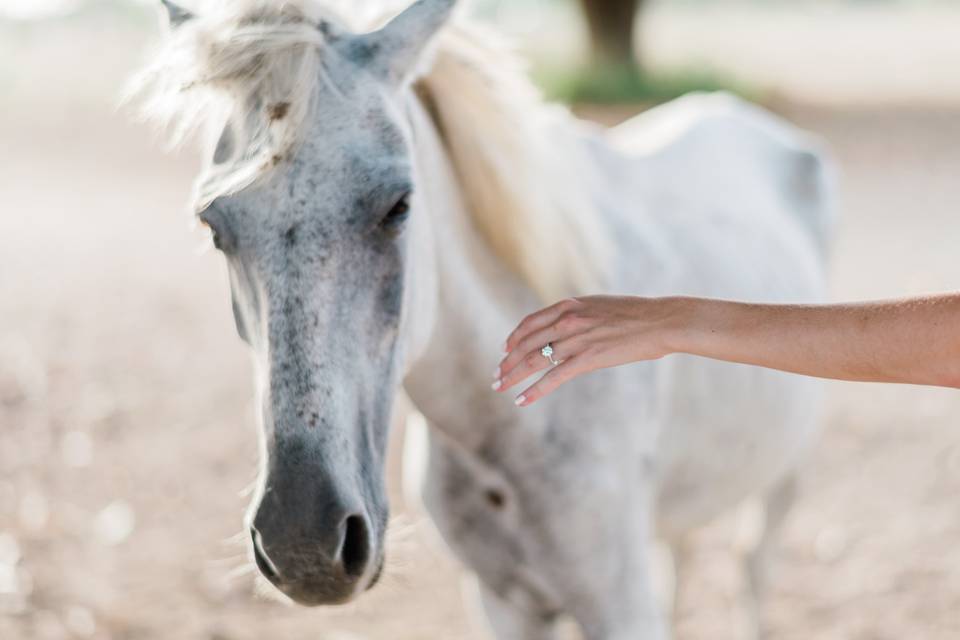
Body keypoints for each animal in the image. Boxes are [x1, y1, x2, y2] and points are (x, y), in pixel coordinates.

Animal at [131, 1, 834, 637]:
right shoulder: (502, 601)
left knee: (751, 571)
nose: (302, 544)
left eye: (399, 205)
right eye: (214, 226)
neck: (510, 425)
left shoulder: (618, 605)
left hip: (786, 477)